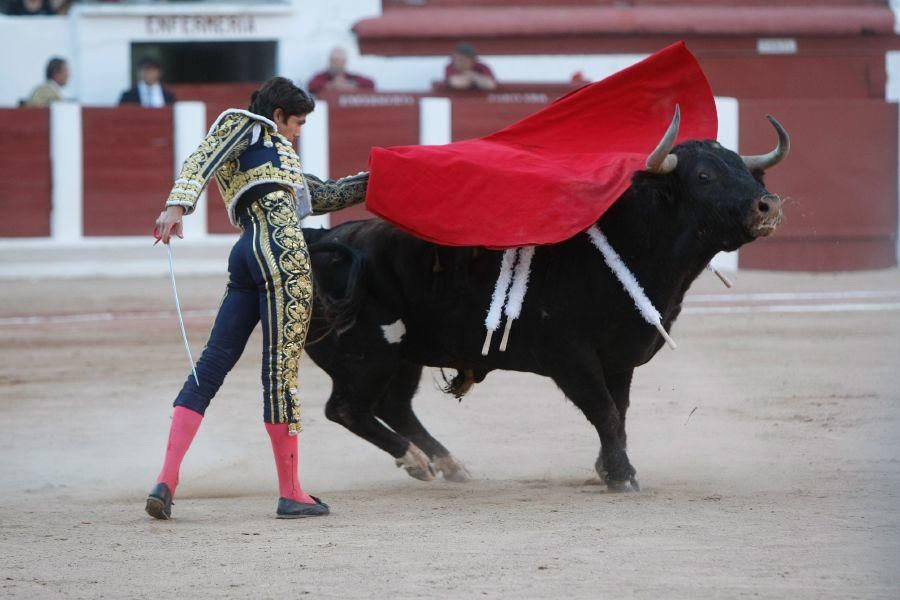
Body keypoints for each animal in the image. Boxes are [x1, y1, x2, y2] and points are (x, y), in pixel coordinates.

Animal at [302, 118, 788, 492]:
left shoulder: (618, 359)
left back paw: (449, 465)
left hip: (405, 354)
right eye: (704, 176)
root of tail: (323, 239)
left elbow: (619, 412)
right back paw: (416, 460)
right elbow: (604, 411)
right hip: (367, 355)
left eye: (747, 173)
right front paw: (622, 476)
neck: (626, 245)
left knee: (393, 406)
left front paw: (607, 468)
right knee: (346, 408)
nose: (767, 205)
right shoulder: (571, 359)